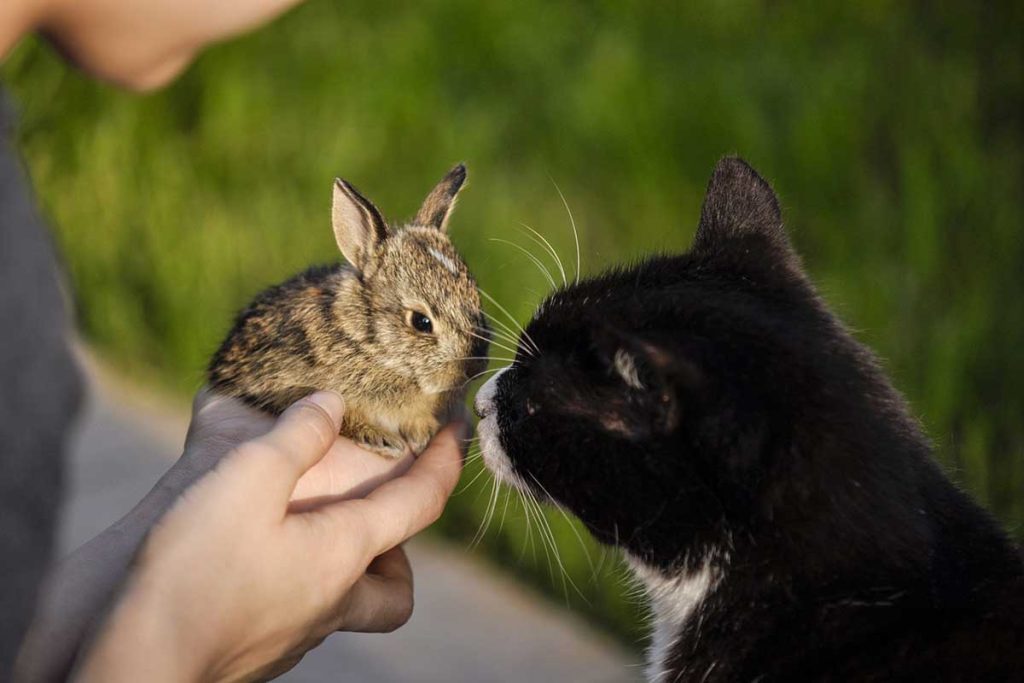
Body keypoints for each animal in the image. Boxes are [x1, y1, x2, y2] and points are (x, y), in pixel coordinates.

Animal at [208, 164, 489, 459]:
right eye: (421, 322)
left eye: (476, 299)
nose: (474, 368)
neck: (367, 344)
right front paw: (381, 439)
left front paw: (423, 431)